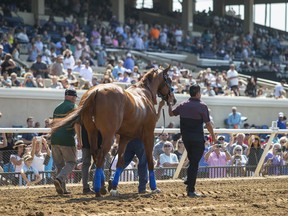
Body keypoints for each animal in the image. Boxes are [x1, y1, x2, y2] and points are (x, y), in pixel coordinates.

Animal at [51, 66, 176, 197]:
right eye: (169, 80)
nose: (173, 99)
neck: (144, 94)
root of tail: (95, 92)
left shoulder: (125, 137)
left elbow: (120, 162)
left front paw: (114, 187)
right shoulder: (149, 134)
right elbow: (150, 161)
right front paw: (154, 187)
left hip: (92, 132)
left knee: (96, 155)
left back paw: (101, 187)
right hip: (108, 135)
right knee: (101, 156)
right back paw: (98, 189)